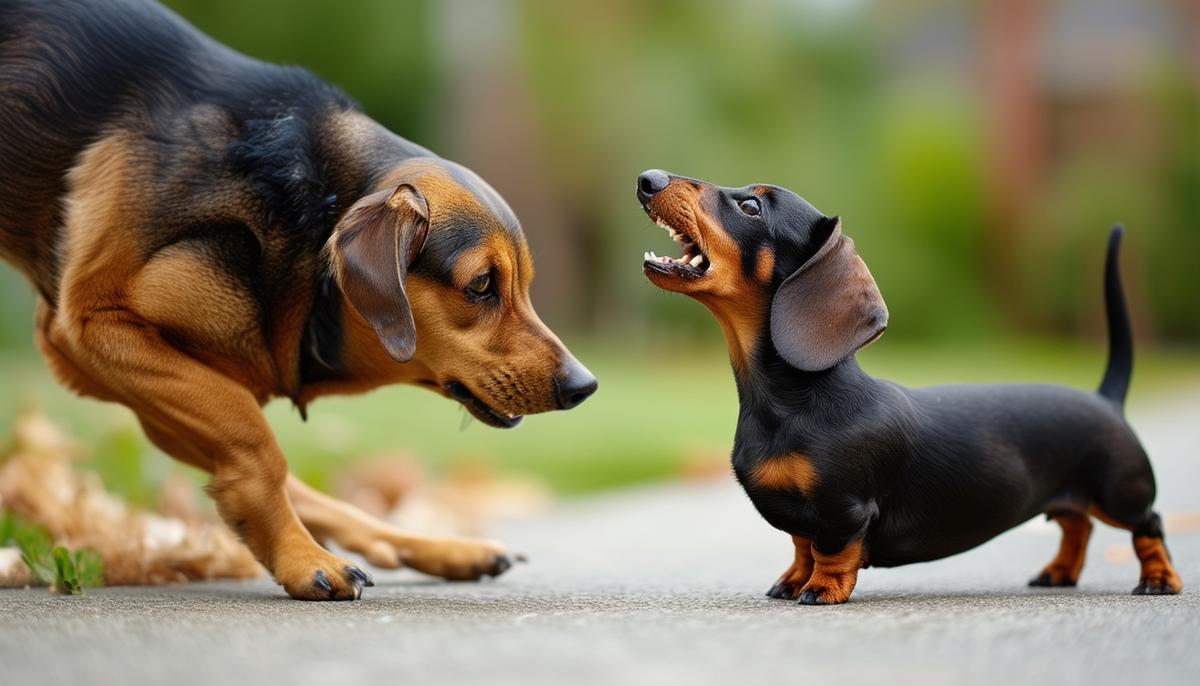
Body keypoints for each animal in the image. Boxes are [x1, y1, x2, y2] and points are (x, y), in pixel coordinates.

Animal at [0, 0, 597, 599]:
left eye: (524, 286)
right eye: (480, 286)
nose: (584, 386)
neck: (312, 205)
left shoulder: (154, 386)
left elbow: (263, 456)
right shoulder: (89, 329)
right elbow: (258, 444)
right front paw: (297, 557)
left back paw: (434, 547)